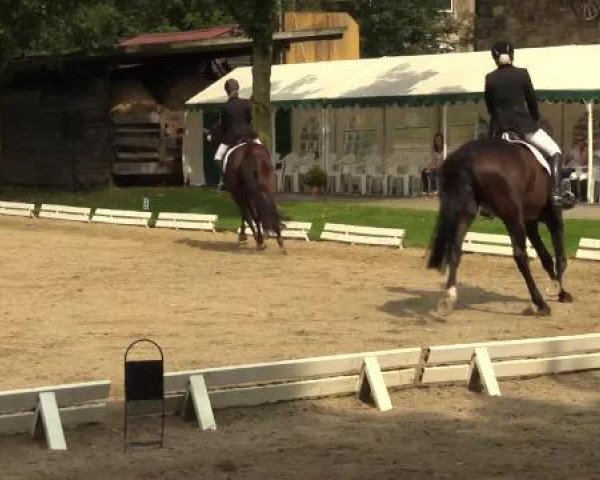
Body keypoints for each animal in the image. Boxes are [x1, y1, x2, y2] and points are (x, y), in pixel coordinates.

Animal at [426, 137, 572, 316]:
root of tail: (465, 158)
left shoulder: (530, 223)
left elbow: (546, 257)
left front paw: (557, 288)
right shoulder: (552, 217)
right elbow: (560, 258)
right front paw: (560, 291)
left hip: (465, 212)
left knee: (455, 249)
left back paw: (449, 298)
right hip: (512, 215)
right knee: (520, 255)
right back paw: (541, 303)